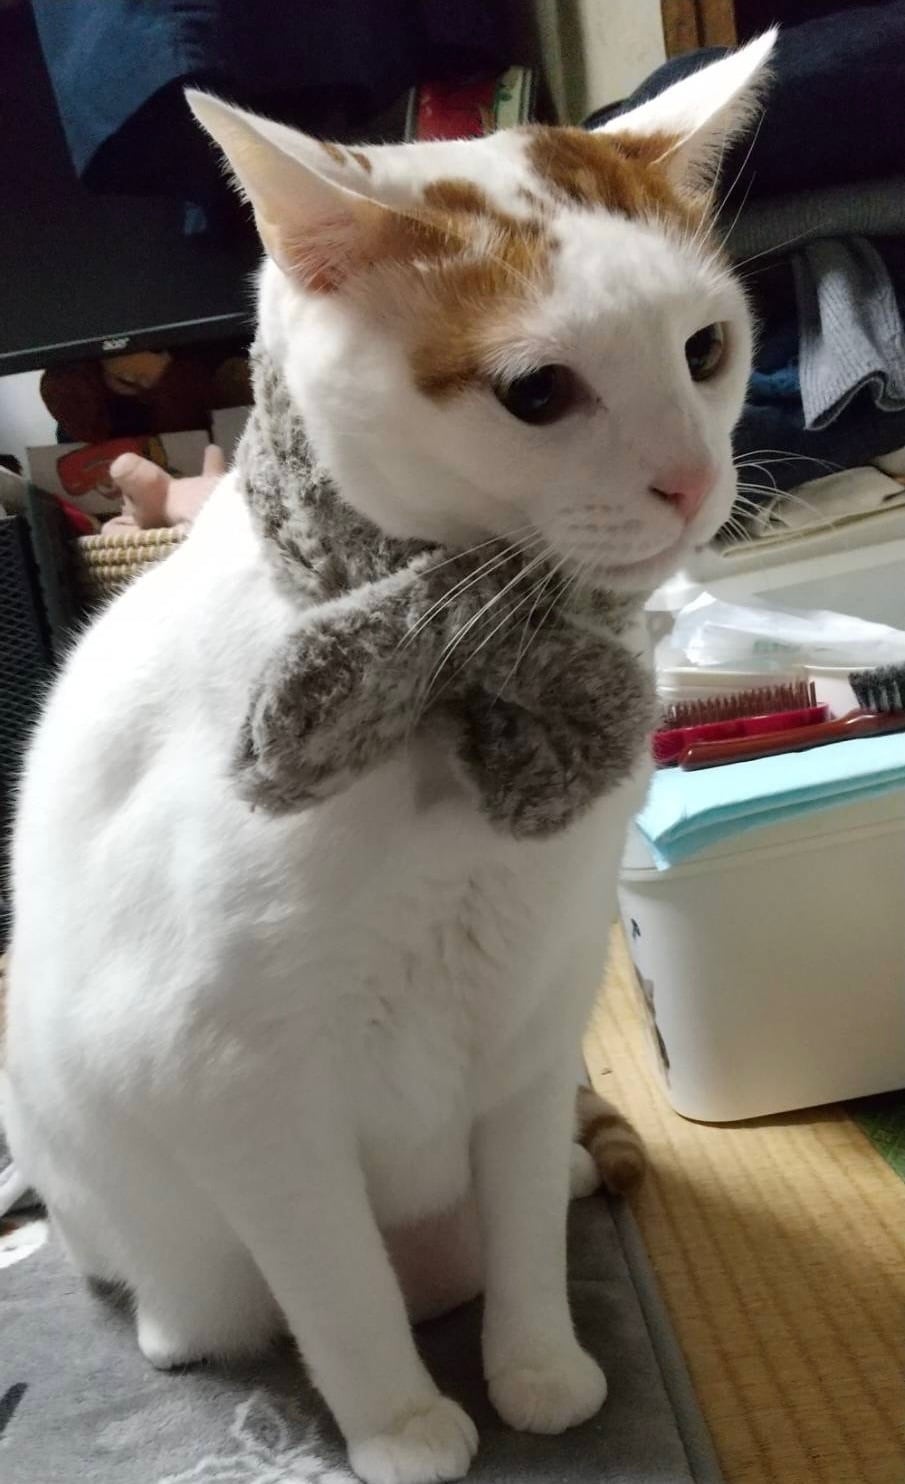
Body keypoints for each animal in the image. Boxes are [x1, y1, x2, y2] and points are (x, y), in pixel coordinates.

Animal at [4, 31, 773, 1484]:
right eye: (537, 392)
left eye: (704, 348)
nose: (691, 479)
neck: (457, 675)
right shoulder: (244, 1086)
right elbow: (339, 1284)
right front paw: (400, 1423)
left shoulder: (531, 1023)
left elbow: (524, 1231)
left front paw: (536, 1365)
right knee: (189, 1297)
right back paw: (184, 1324)